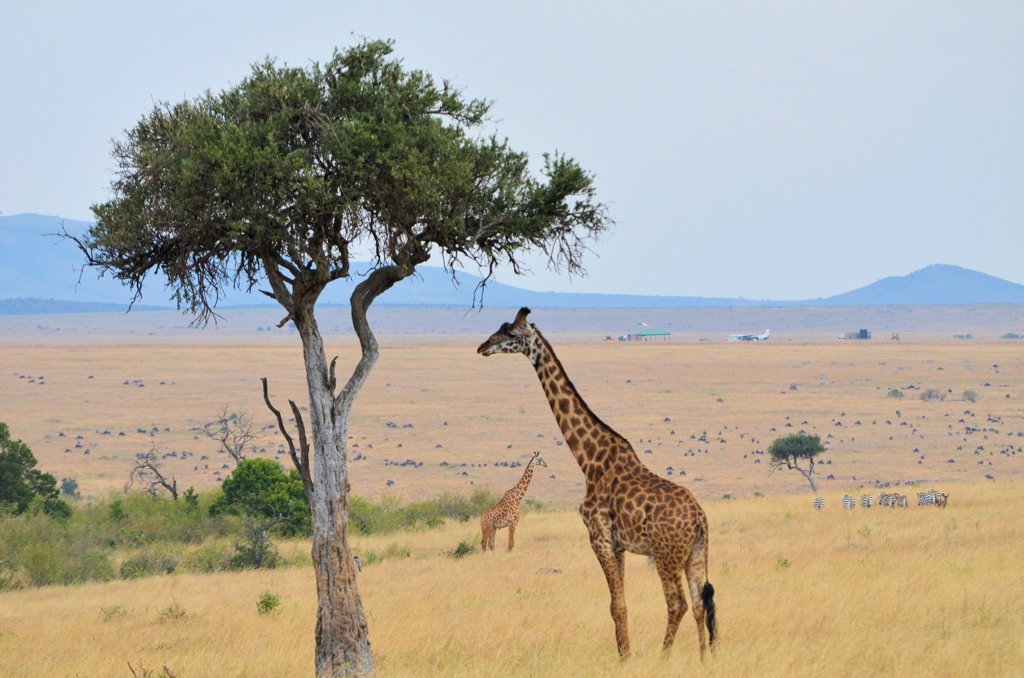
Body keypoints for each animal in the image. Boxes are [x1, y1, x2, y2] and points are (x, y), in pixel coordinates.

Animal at [477, 311, 712, 659]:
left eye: (510, 333)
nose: (483, 346)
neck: (589, 459)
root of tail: (699, 518)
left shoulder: (598, 537)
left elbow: (617, 606)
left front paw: (625, 658)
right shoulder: (619, 545)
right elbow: (620, 603)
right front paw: (624, 653)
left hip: (666, 554)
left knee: (677, 603)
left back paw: (663, 658)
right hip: (696, 553)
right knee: (698, 605)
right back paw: (704, 660)